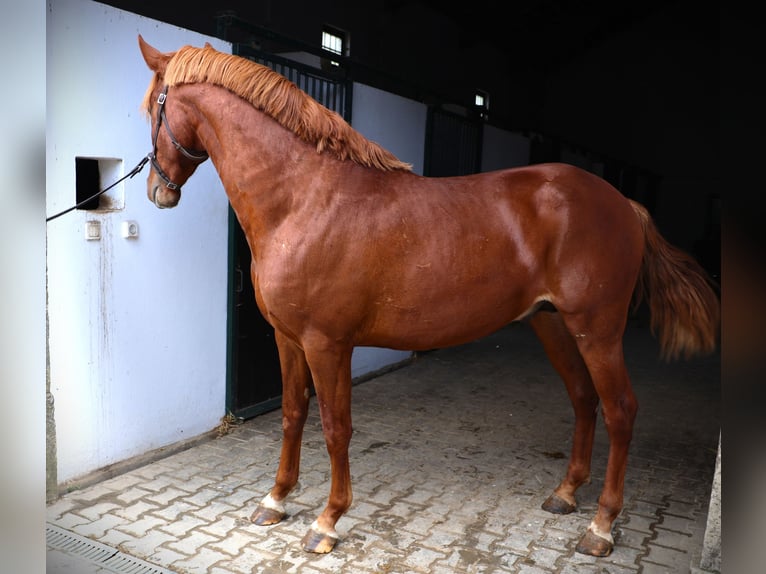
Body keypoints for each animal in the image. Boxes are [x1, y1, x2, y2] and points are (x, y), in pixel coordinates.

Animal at [136, 36, 720, 560]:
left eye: (152, 109)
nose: (157, 191)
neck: (306, 197)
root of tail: (623, 203)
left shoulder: (329, 344)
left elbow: (335, 428)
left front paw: (327, 522)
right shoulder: (288, 337)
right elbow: (291, 413)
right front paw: (276, 499)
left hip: (597, 329)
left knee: (621, 410)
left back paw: (600, 527)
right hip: (552, 323)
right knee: (583, 398)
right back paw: (565, 494)